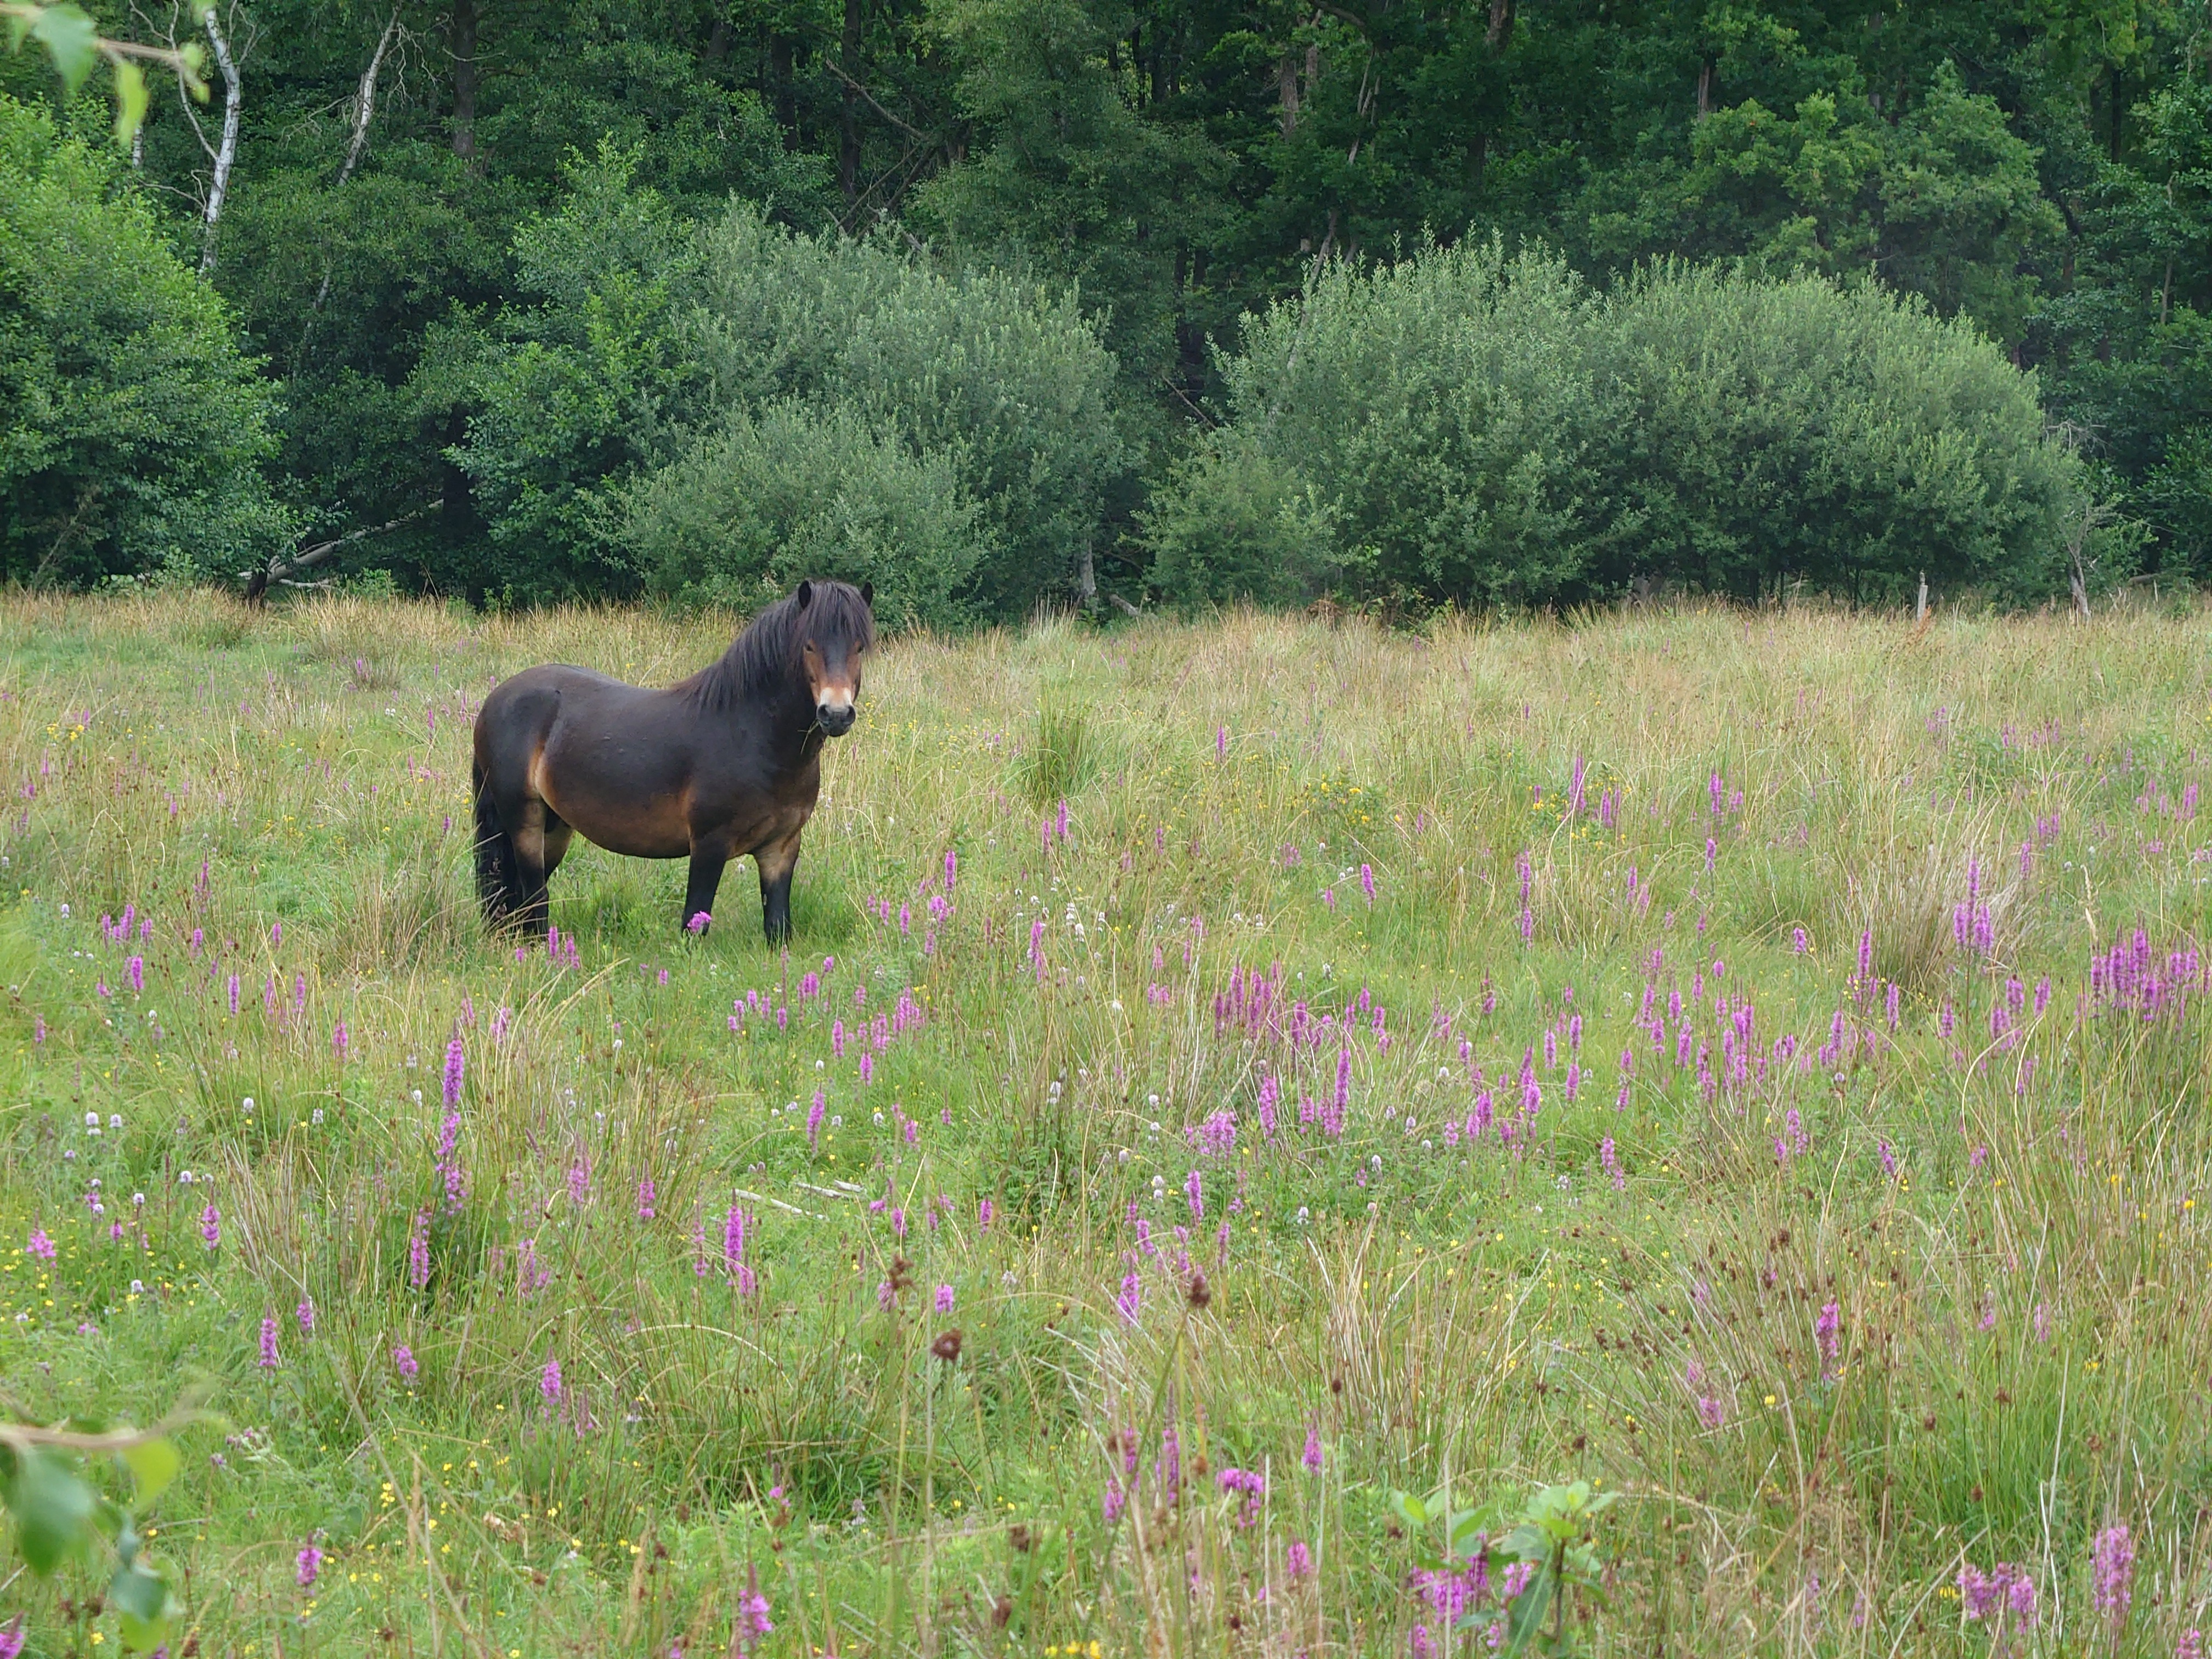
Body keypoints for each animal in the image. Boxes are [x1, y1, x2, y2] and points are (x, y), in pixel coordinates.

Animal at [471, 579, 875, 943]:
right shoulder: (709, 844)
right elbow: (694, 923)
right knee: (534, 897)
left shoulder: (781, 849)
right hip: (525, 821)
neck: (752, 732)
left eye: (859, 648)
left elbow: (778, 930)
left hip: (555, 828)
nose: (836, 714)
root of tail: (497, 698)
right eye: (808, 646)